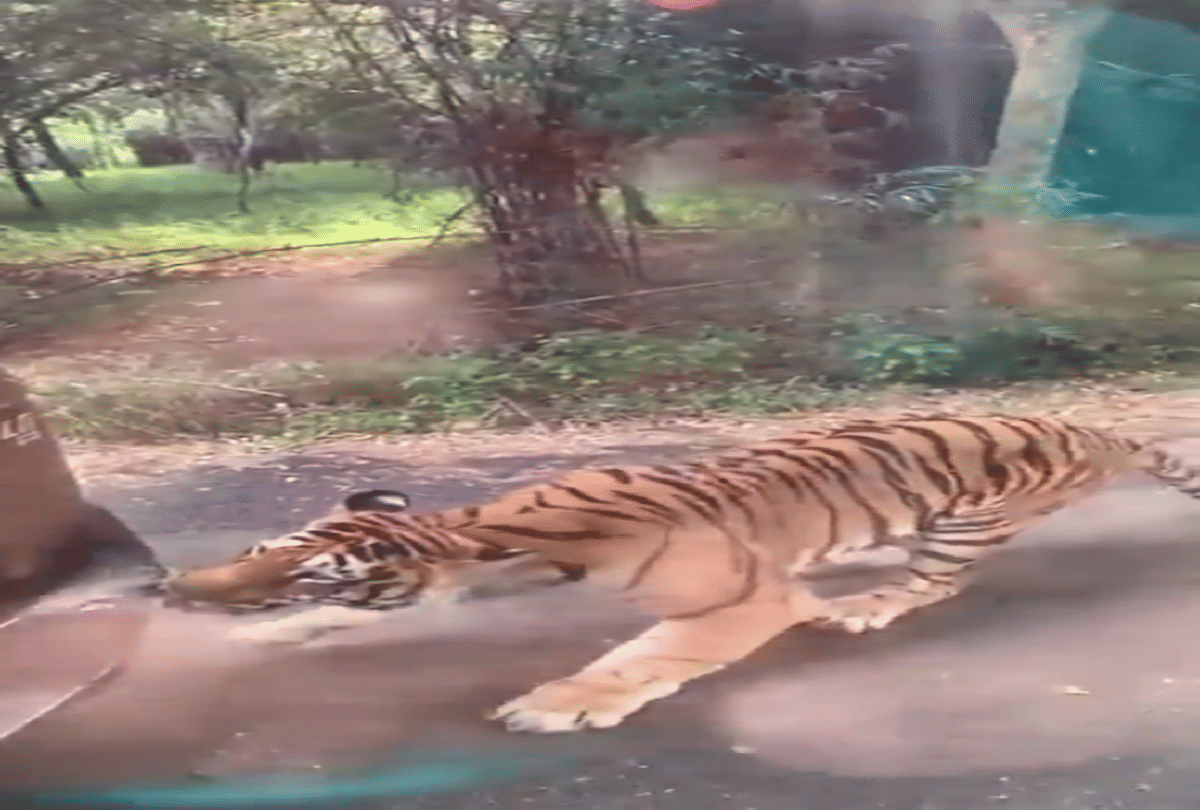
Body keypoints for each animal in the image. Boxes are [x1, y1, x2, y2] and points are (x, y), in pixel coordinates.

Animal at [160, 414, 1200, 734]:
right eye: (256, 553)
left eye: (316, 575)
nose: (173, 593)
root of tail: (1096, 427)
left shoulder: (747, 596)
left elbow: (646, 658)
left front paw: (562, 704)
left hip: (960, 525)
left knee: (935, 582)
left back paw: (864, 607)